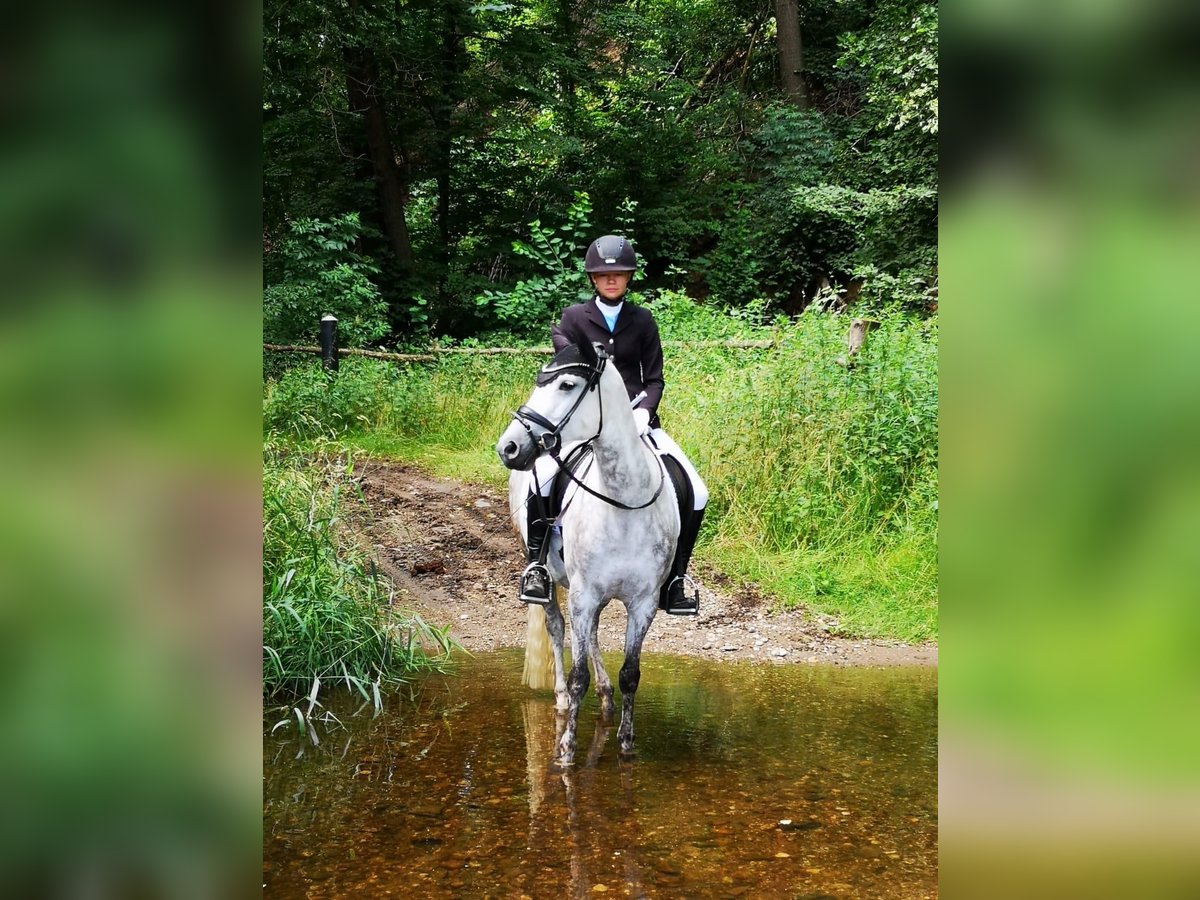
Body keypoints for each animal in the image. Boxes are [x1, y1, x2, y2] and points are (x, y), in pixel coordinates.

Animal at [492, 340, 681, 763]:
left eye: (566, 384)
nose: (508, 447)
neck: (624, 500)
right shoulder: (583, 593)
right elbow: (578, 672)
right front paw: (566, 749)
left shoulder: (642, 603)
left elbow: (631, 673)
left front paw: (626, 743)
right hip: (549, 577)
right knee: (558, 628)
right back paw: (562, 700)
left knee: (591, 634)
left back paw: (606, 695)